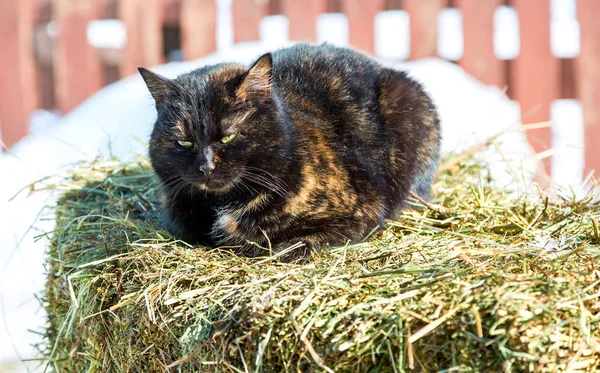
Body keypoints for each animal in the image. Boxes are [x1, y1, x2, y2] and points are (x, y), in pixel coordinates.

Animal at [139, 44, 440, 258]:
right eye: (185, 142)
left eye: (228, 136)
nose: (206, 167)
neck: (223, 205)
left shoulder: (364, 212)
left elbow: (294, 243)